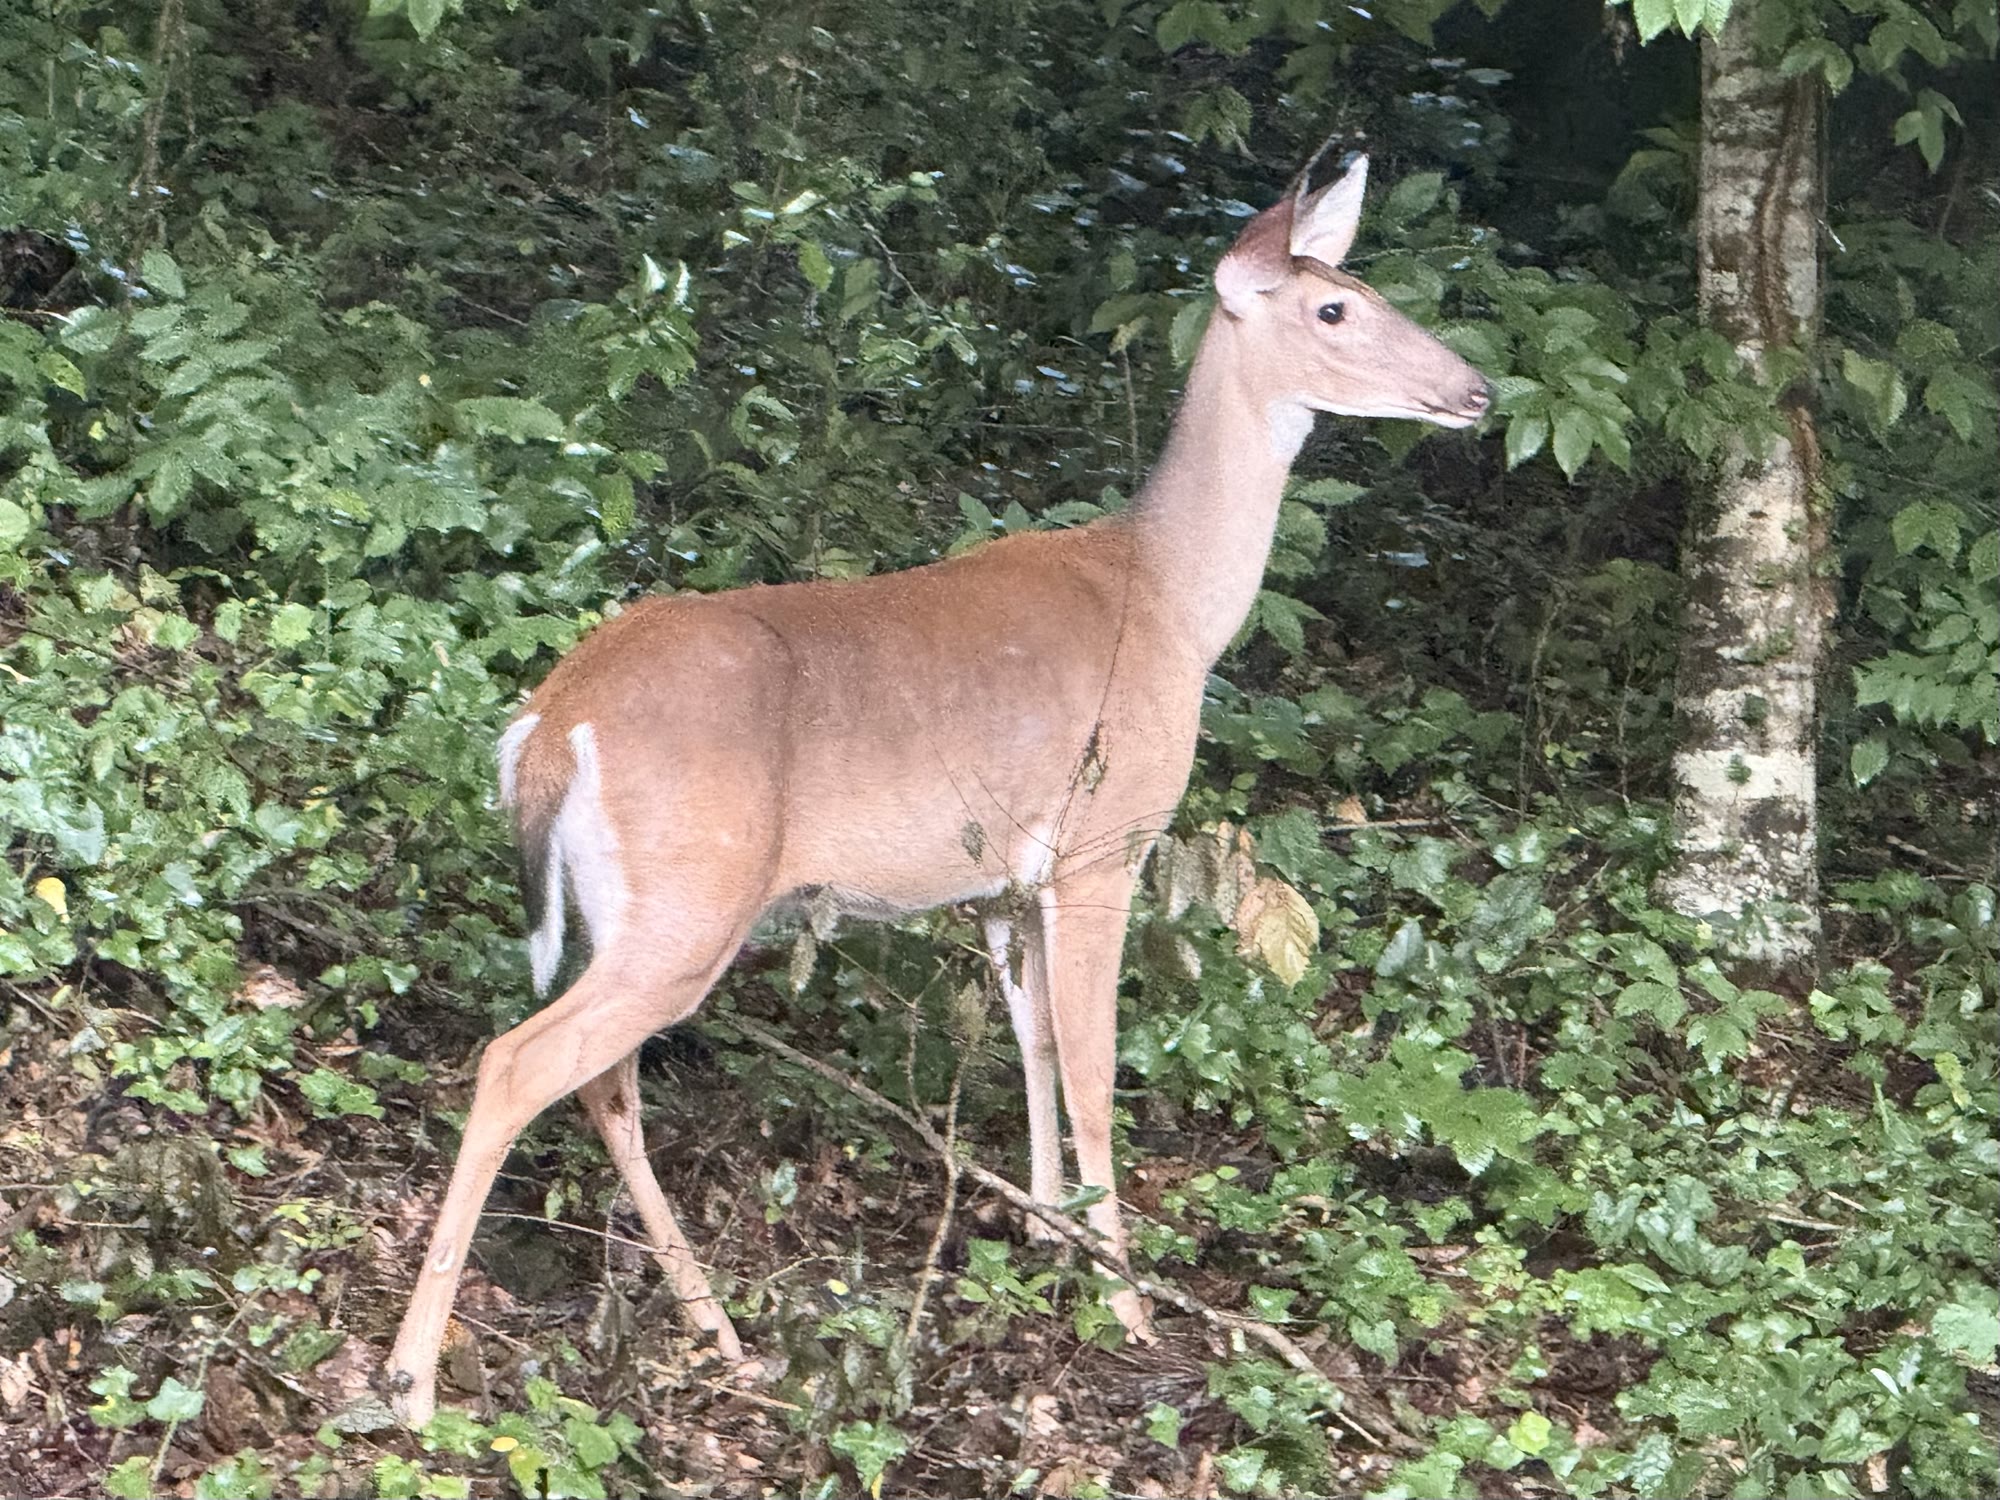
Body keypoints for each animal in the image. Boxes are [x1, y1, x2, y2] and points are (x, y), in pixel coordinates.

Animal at [385, 153, 1489, 1427]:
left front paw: (1053, 1238)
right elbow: (1097, 1067)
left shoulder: (1000, 884)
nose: (1473, 389)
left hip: (631, 908)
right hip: (693, 892)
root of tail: (555, 720)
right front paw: (1125, 1302)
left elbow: (1033, 1048)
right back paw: (413, 1380)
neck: (1171, 599)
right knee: (519, 1063)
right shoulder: (1103, 842)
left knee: (602, 1083)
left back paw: (718, 1331)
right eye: (1333, 309)